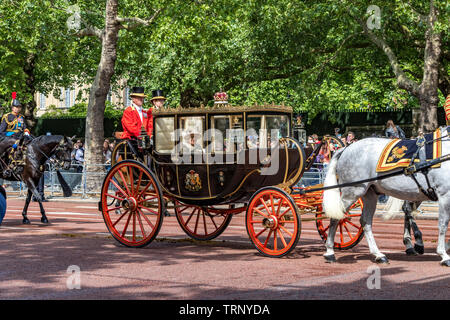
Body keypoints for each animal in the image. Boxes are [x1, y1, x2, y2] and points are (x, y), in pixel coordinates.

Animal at [324, 127, 450, 264]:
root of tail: (347, 148)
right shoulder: (444, 194)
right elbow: (443, 224)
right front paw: (443, 255)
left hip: (371, 194)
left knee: (366, 221)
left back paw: (379, 254)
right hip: (352, 192)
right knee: (337, 217)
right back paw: (330, 252)